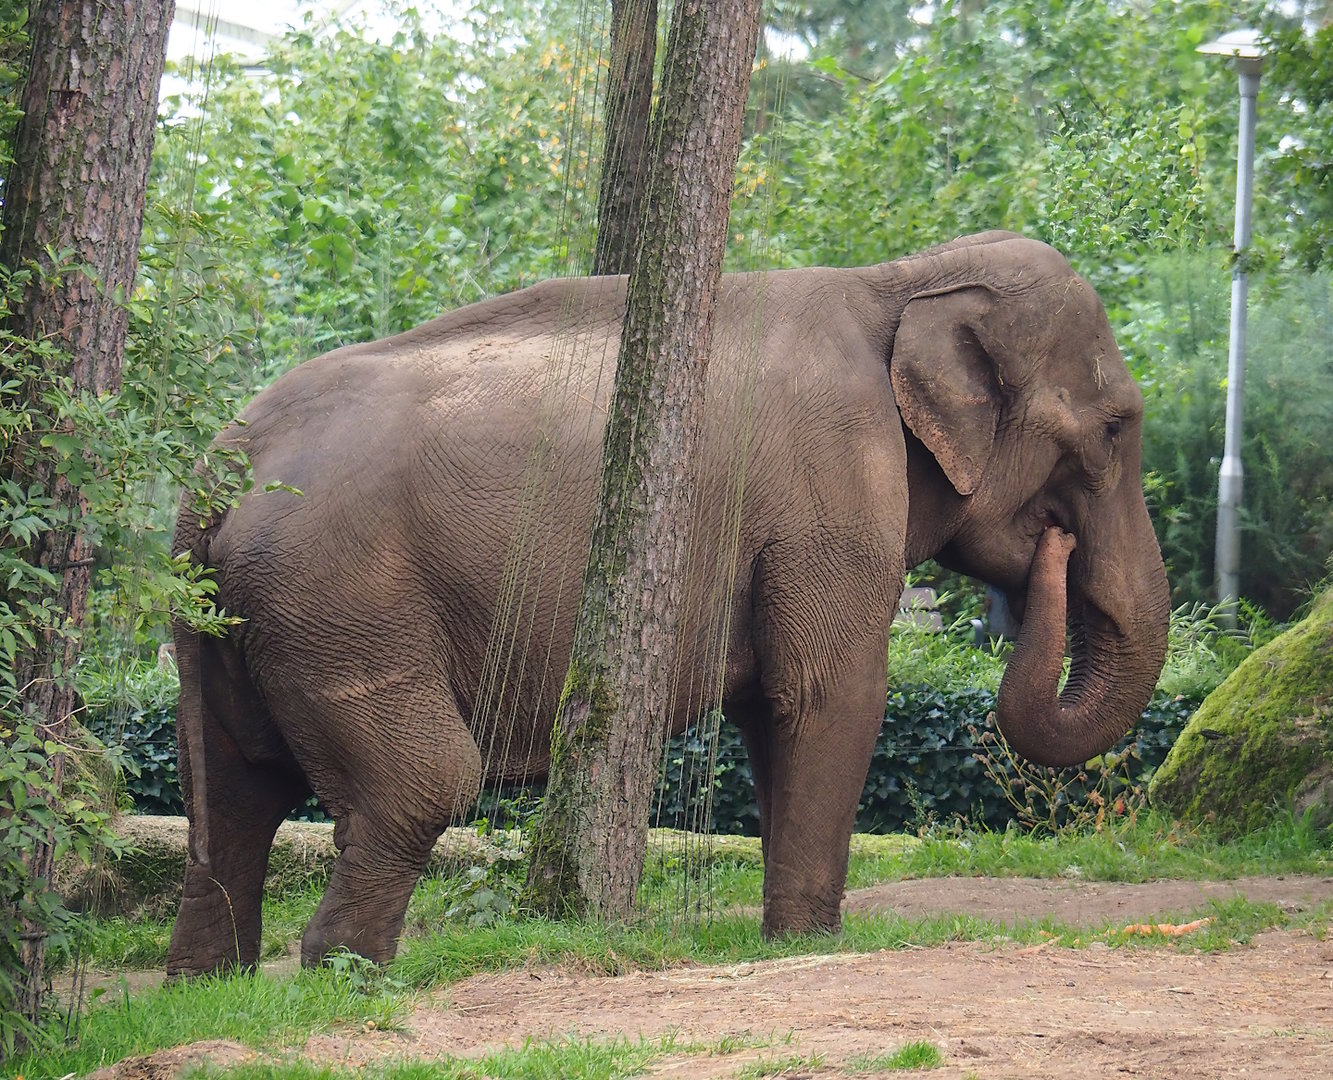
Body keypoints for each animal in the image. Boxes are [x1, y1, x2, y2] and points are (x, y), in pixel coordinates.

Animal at [164, 231, 1169, 977]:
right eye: (1116, 427)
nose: (1054, 548)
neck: (898, 279)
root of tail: (222, 466)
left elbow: (774, 709)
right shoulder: (829, 494)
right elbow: (828, 696)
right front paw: (806, 945)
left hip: (236, 623)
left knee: (236, 786)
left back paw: (211, 986)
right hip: (340, 605)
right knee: (420, 782)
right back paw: (347, 981)